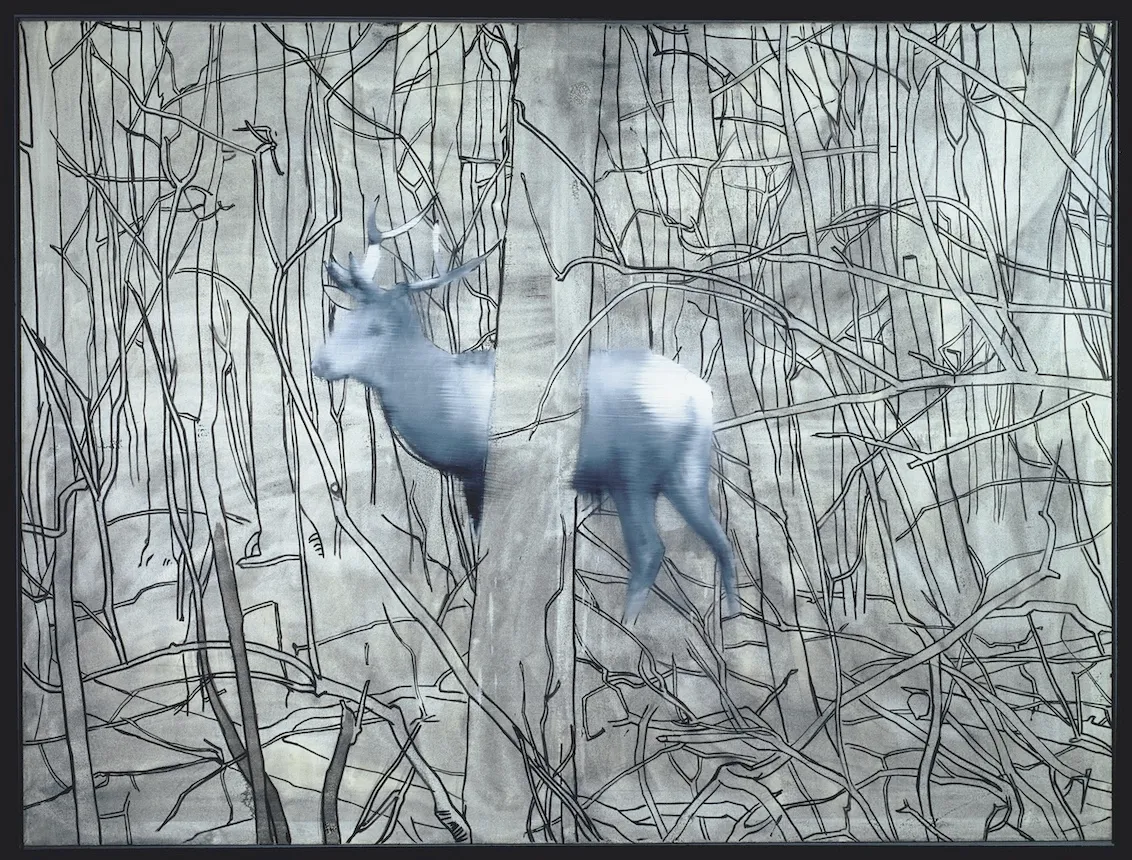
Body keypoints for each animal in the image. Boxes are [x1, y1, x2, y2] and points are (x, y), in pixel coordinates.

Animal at [311, 203, 738, 625]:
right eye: (344, 317)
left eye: (376, 328)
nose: (319, 363)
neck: (446, 398)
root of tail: (700, 396)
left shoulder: (482, 469)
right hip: (686, 467)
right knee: (720, 539)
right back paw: (729, 618)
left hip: (634, 471)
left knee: (650, 548)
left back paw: (626, 625)